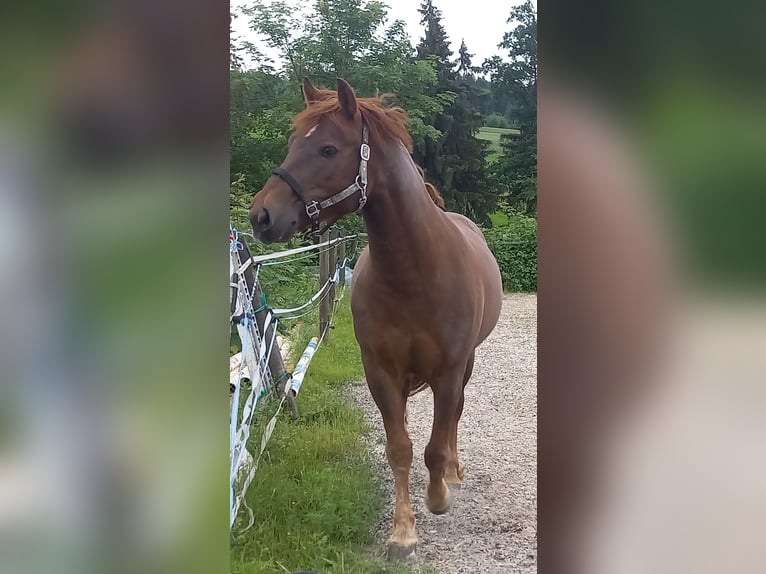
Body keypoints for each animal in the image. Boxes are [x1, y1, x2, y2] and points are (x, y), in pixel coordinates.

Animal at [249, 79, 508, 560]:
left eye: (328, 149)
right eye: (294, 143)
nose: (261, 215)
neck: (416, 274)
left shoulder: (448, 371)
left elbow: (434, 445)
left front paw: (438, 496)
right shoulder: (381, 371)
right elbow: (399, 448)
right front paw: (403, 532)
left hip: (466, 365)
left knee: (456, 416)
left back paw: (454, 472)